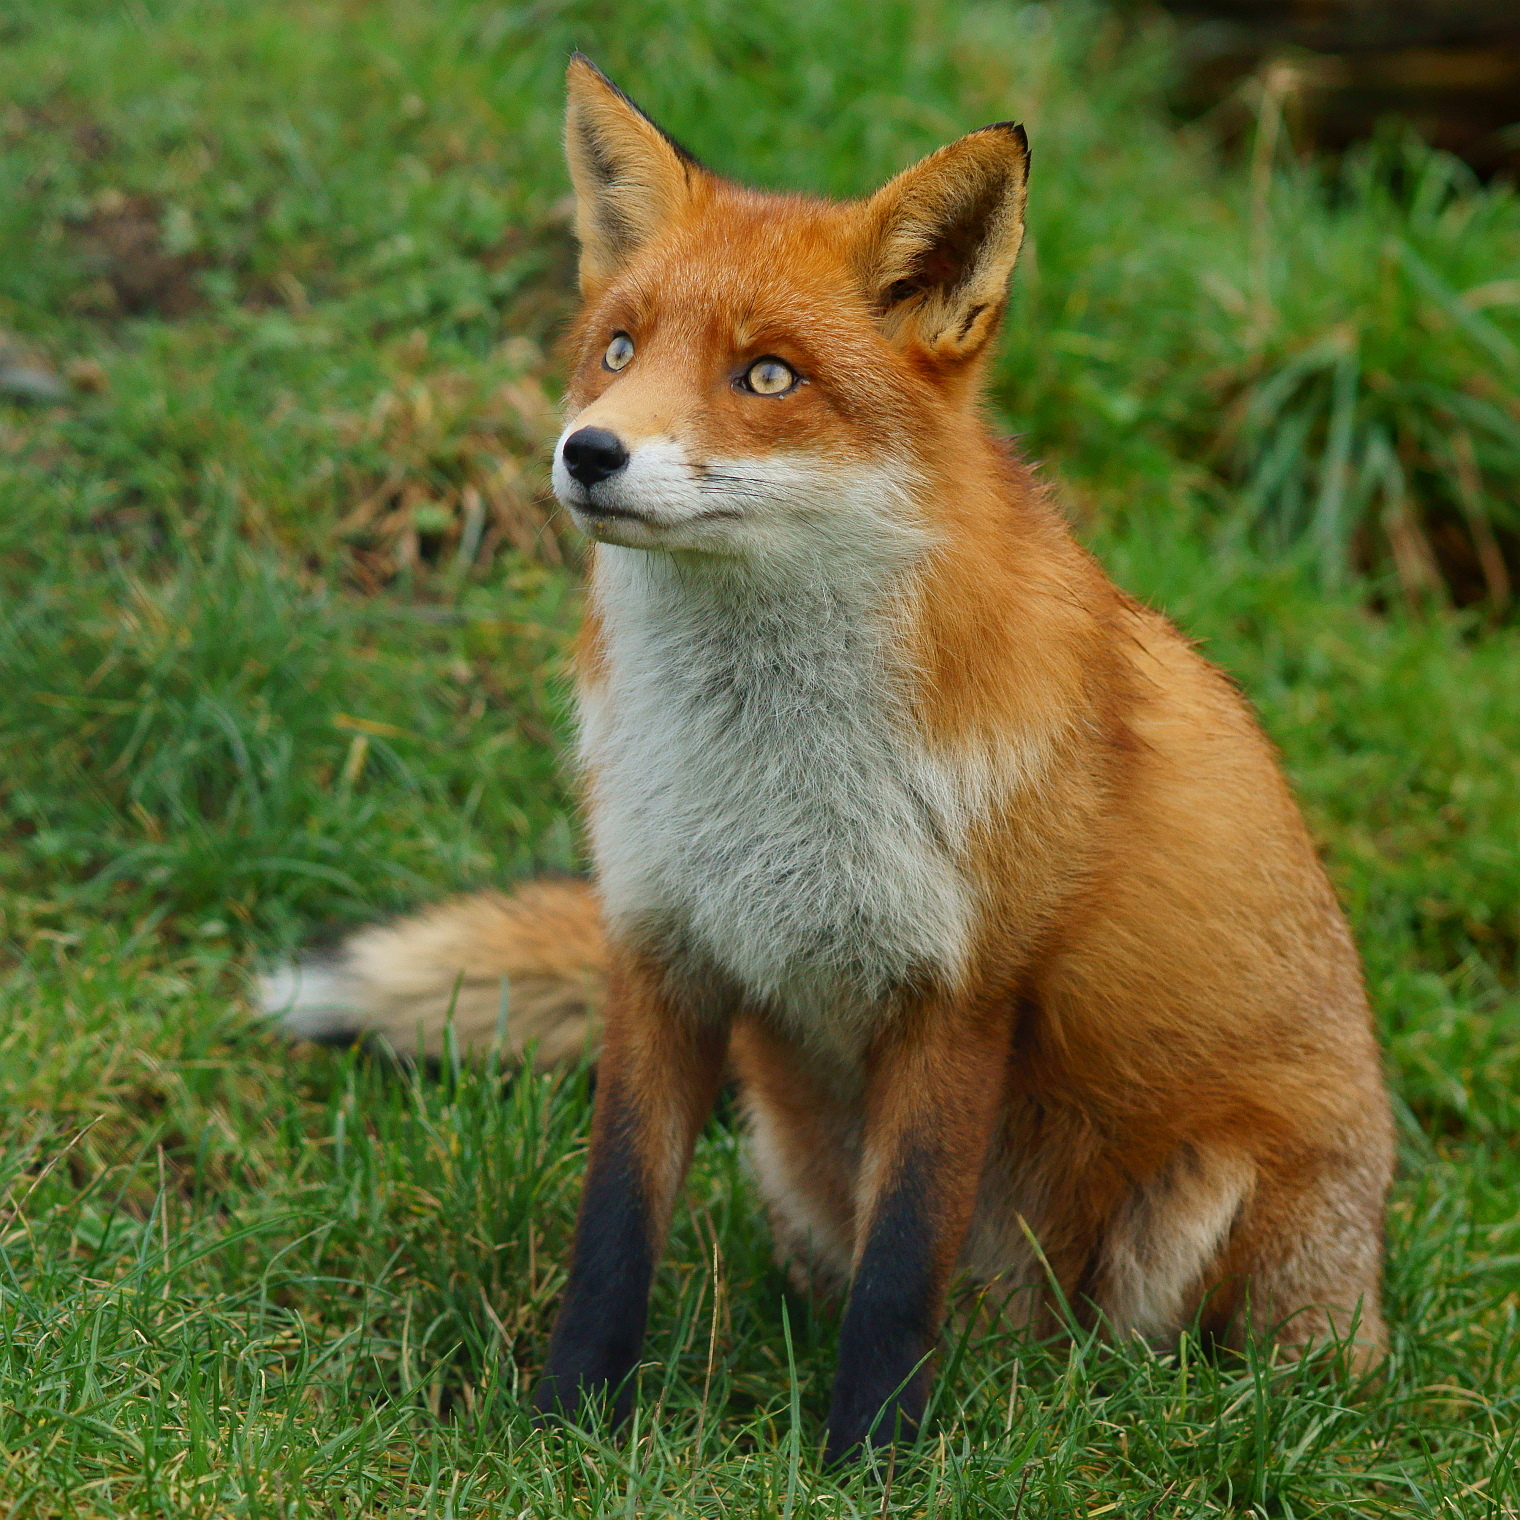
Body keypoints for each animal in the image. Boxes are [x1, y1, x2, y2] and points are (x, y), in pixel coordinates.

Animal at [270, 56, 1392, 1459]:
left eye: (766, 376)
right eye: (618, 349)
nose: (589, 451)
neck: (764, 774)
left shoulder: (955, 991)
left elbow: (898, 1270)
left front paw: (868, 1457)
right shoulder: (660, 943)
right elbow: (612, 1228)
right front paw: (564, 1424)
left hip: (1201, 1211)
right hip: (788, 1159)